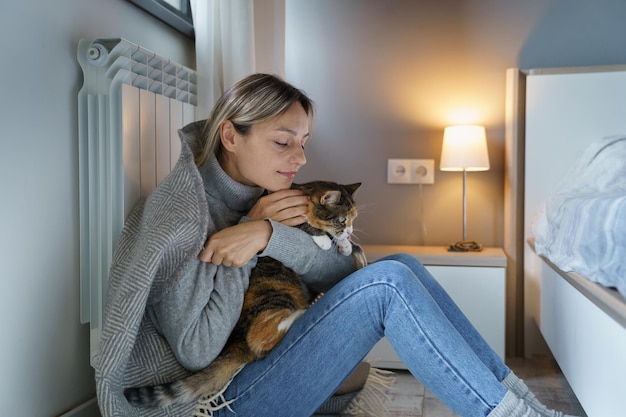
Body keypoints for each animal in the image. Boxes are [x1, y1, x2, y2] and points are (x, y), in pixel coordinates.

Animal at [124, 180, 364, 406]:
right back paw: (308, 309)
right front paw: (324, 239)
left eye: (353, 218)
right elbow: (304, 225)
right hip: (275, 293)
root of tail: (237, 341)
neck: (302, 191)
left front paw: (345, 245)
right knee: (261, 339)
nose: (351, 231)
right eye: (342, 219)